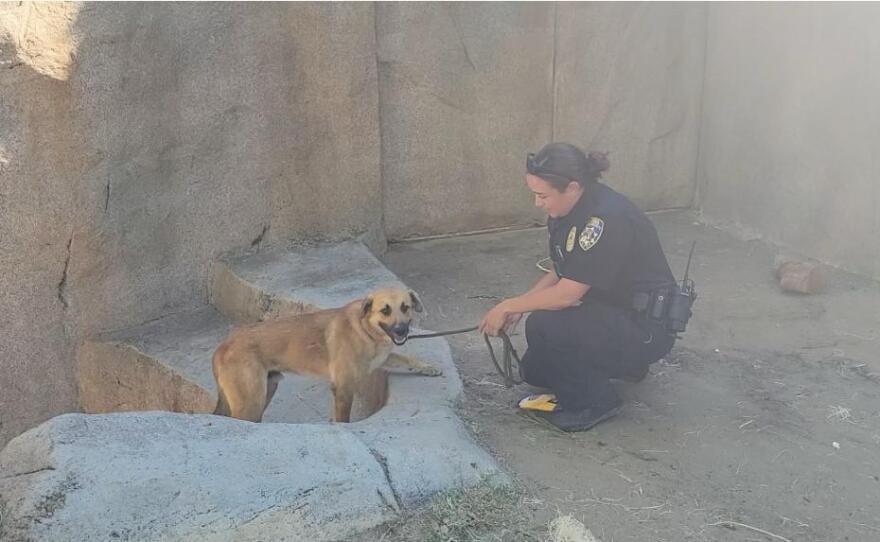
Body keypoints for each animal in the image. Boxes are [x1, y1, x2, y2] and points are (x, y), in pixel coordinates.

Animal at [213, 288, 440, 424]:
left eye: (405, 307)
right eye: (385, 311)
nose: (402, 331)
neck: (365, 329)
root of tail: (222, 346)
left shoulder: (382, 357)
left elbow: (405, 358)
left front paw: (429, 367)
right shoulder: (343, 389)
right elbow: (343, 419)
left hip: (266, 391)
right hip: (250, 402)